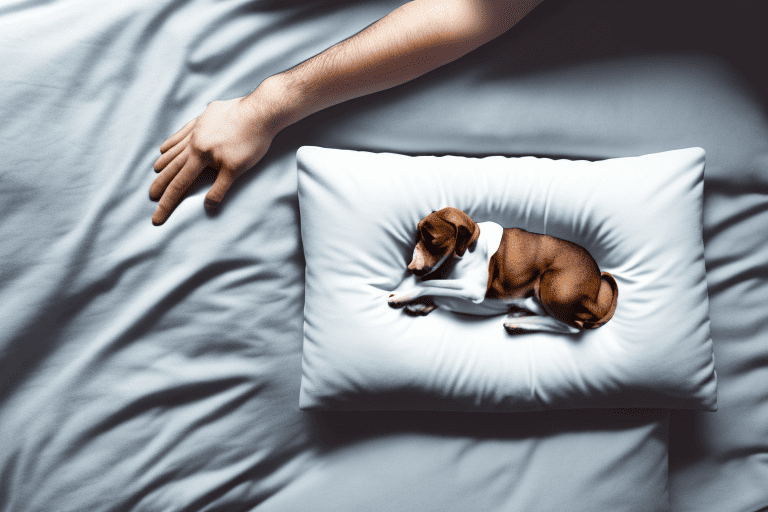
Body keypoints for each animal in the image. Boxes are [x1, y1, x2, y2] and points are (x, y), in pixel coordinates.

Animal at [390, 206, 616, 334]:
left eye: (432, 239)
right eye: (416, 236)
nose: (411, 268)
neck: (466, 250)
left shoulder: (472, 288)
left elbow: (429, 284)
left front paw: (404, 295)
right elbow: (436, 284)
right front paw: (421, 302)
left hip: (550, 287)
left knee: (572, 327)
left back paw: (521, 324)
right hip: (536, 296)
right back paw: (520, 317)